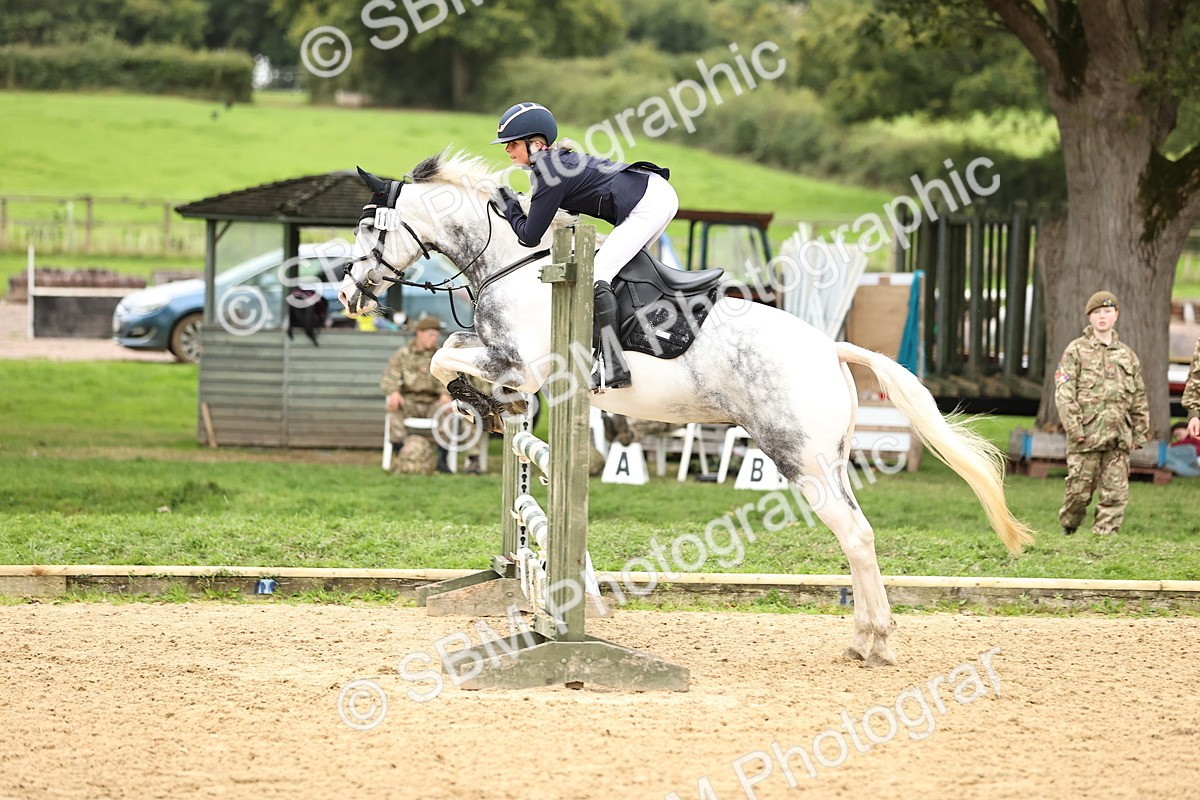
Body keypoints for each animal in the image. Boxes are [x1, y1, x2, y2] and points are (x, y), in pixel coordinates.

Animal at [338, 150, 1034, 666]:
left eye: (373, 230)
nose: (348, 294)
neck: (516, 265)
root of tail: (829, 347)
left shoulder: (523, 363)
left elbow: (444, 359)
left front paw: (477, 401)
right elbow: (452, 352)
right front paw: (489, 408)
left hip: (799, 456)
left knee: (855, 535)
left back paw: (878, 644)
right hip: (828, 459)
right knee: (859, 533)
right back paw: (864, 639)